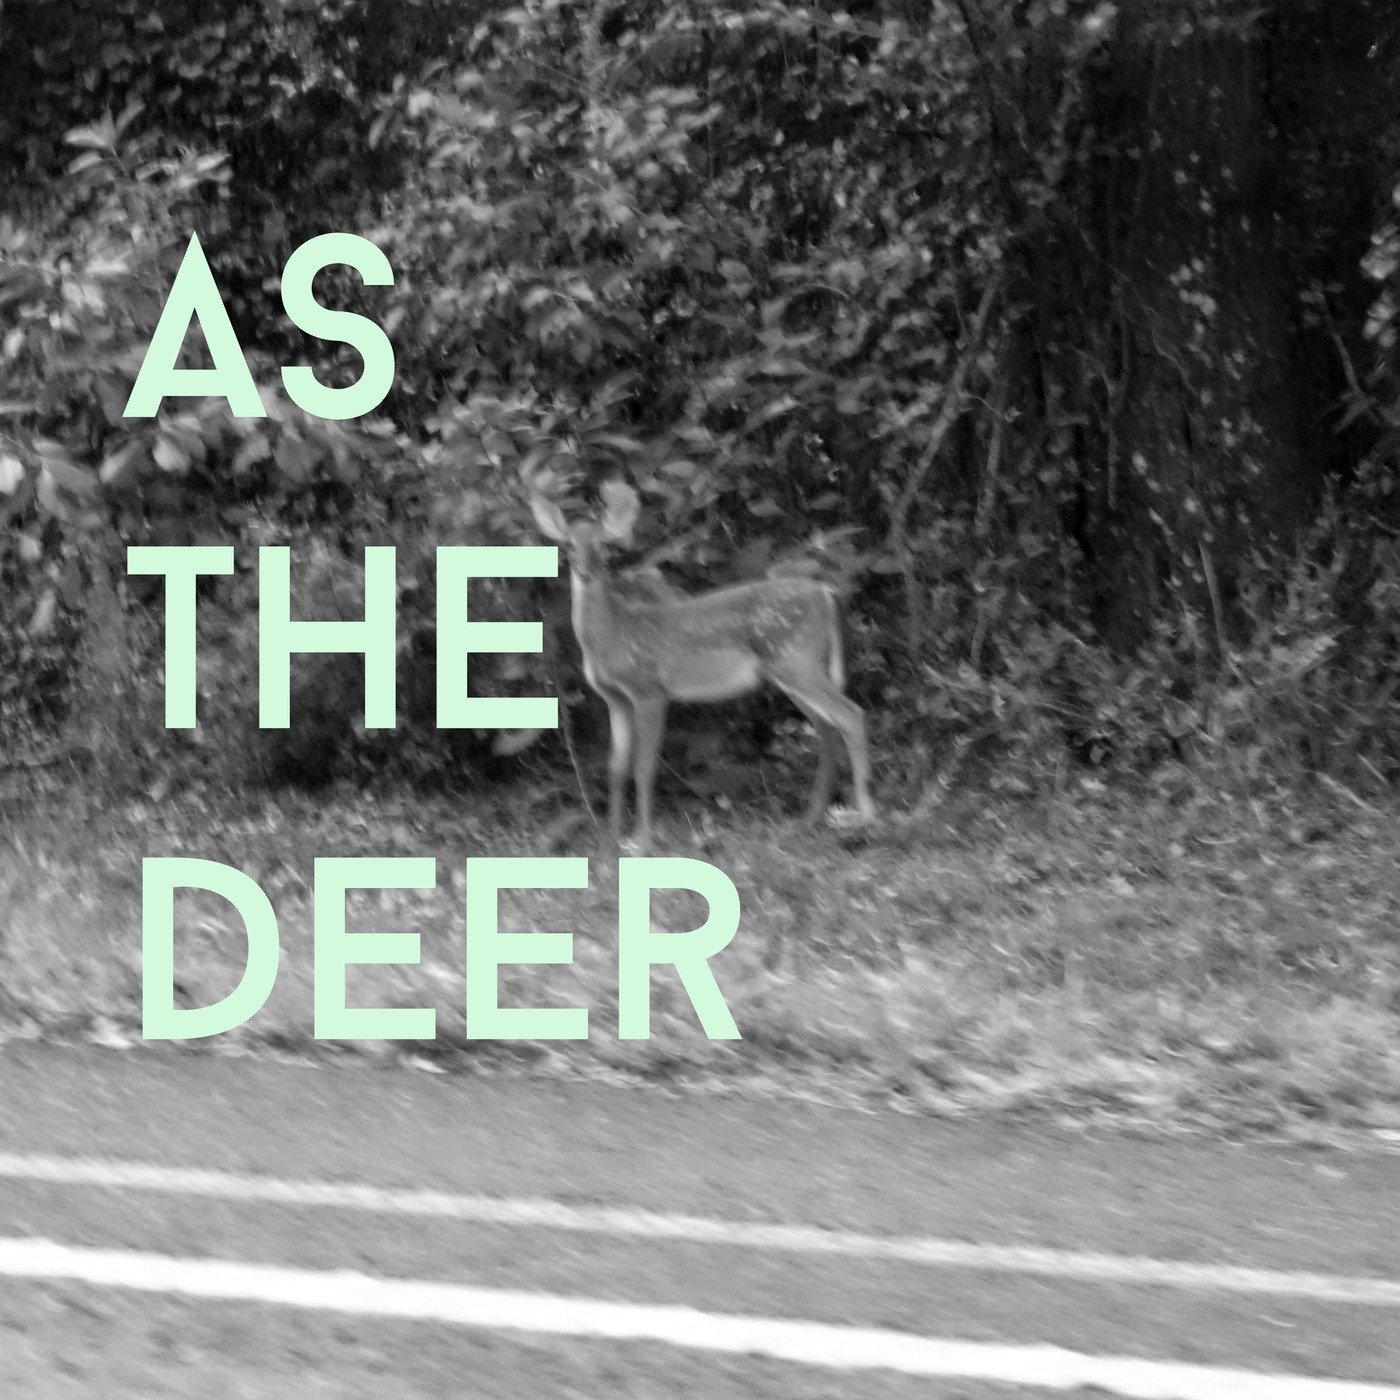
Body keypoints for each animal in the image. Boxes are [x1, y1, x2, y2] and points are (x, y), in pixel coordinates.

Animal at [531, 480, 876, 853]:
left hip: (797, 659)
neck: (613, 636)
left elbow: (644, 766)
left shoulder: (649, 689)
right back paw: (809, 820)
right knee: (827, 730)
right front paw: (610, 842)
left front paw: (641, 842)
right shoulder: (615, 699)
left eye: (603, 545)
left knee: (851, 715)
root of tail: (827, 592)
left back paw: (866, 819)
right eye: (568, 544)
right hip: (790, 669)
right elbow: (616, 768)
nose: (585, 571)